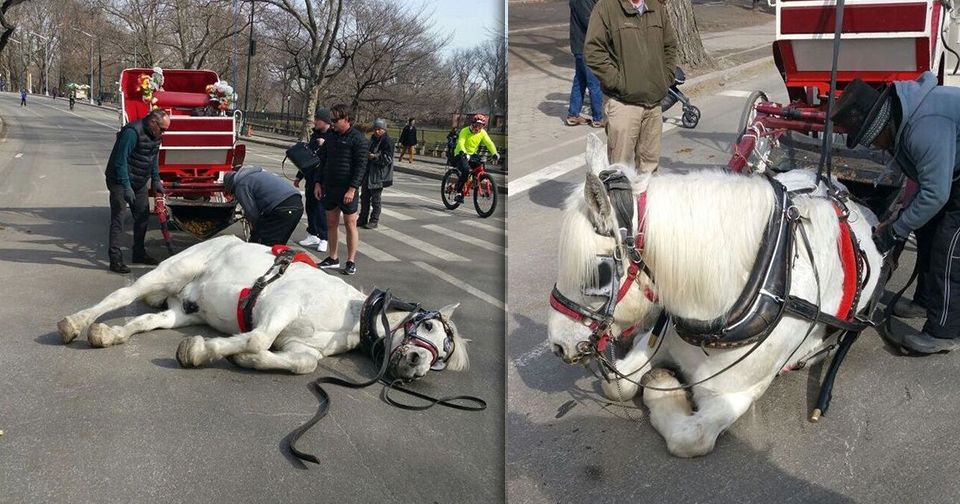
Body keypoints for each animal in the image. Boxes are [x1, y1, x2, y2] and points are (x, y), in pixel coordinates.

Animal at [58, 234, 470, 380]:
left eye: (441, 358)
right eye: (429, 326)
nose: (416, 366)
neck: (347, 314)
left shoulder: (301, 347)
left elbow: (303, 365)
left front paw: (243, 360)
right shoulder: (280, 305)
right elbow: (257, 338)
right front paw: (203, 350)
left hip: (182, 311)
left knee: (145, 320)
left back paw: (109, 333)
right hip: (170, 273)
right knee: (122, 297)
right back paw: (76, 323)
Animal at [548, 136, 884, 458]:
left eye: (600, 274)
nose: (557, 345)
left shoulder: (733, 396)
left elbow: (688, 438)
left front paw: (663, 382)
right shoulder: (659, 341)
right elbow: (615, 385)